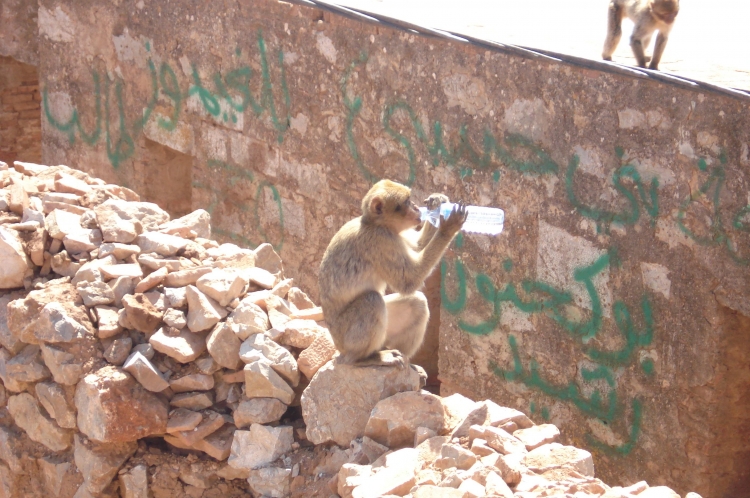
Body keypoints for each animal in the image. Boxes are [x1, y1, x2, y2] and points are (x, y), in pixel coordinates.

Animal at [318, 180, 467, 368]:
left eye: (410, 199)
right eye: (406, 202)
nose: (416, 207)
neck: (375, 224)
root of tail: (338, 346)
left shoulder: (394, 237)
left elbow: (417, 246)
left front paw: (437, 203)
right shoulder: (381, 241)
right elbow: (409, 281)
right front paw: (448, 227)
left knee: (417, 303)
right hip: (346, 337)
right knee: (372, 300)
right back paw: (365, 359)